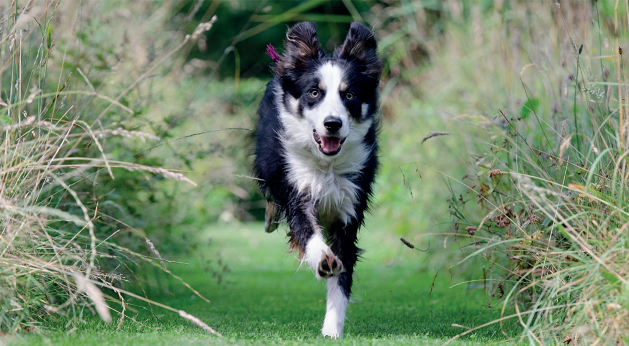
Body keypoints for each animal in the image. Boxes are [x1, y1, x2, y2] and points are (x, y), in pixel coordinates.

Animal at [251, 21, 380, 338]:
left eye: (349, 95)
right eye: (314, 93)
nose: (332, 123)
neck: (327, 166)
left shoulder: (350, 205)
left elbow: (342, 275)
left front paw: (332, 328)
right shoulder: (298, 188)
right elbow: (307, 230)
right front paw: (322, 259)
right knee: (271, 197)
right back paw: (271, 218)